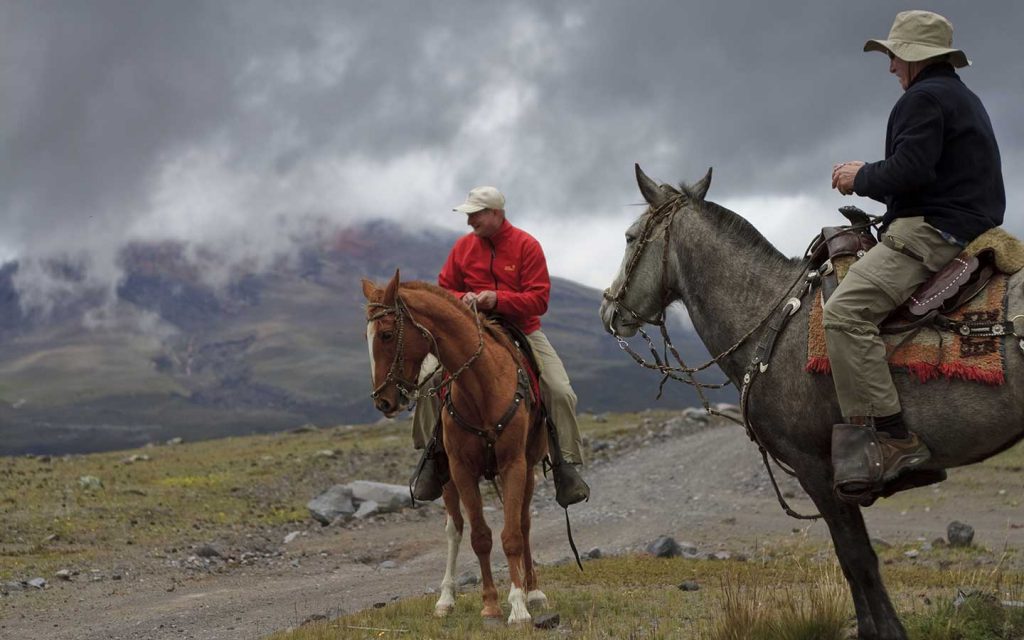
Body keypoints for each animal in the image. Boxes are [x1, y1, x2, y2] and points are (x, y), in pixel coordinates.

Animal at [362, 270, 549, 624]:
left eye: (387, 335)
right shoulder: (461, 470)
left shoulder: (513, 464)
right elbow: (479, 536)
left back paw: (534, 591)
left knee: (524, 523)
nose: (383, 401)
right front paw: (490, 603)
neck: (482, 386)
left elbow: (512, 535)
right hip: (445, 475)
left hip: (529, 468)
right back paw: (446, 599)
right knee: (455, 529)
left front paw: (519, 605)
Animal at [599, 164, 1024, 640]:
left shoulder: (816, 468)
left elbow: (858, 558)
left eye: (630, 237)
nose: (609, 310)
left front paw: (887, 631)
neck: (772, 317)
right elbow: (850, 560)